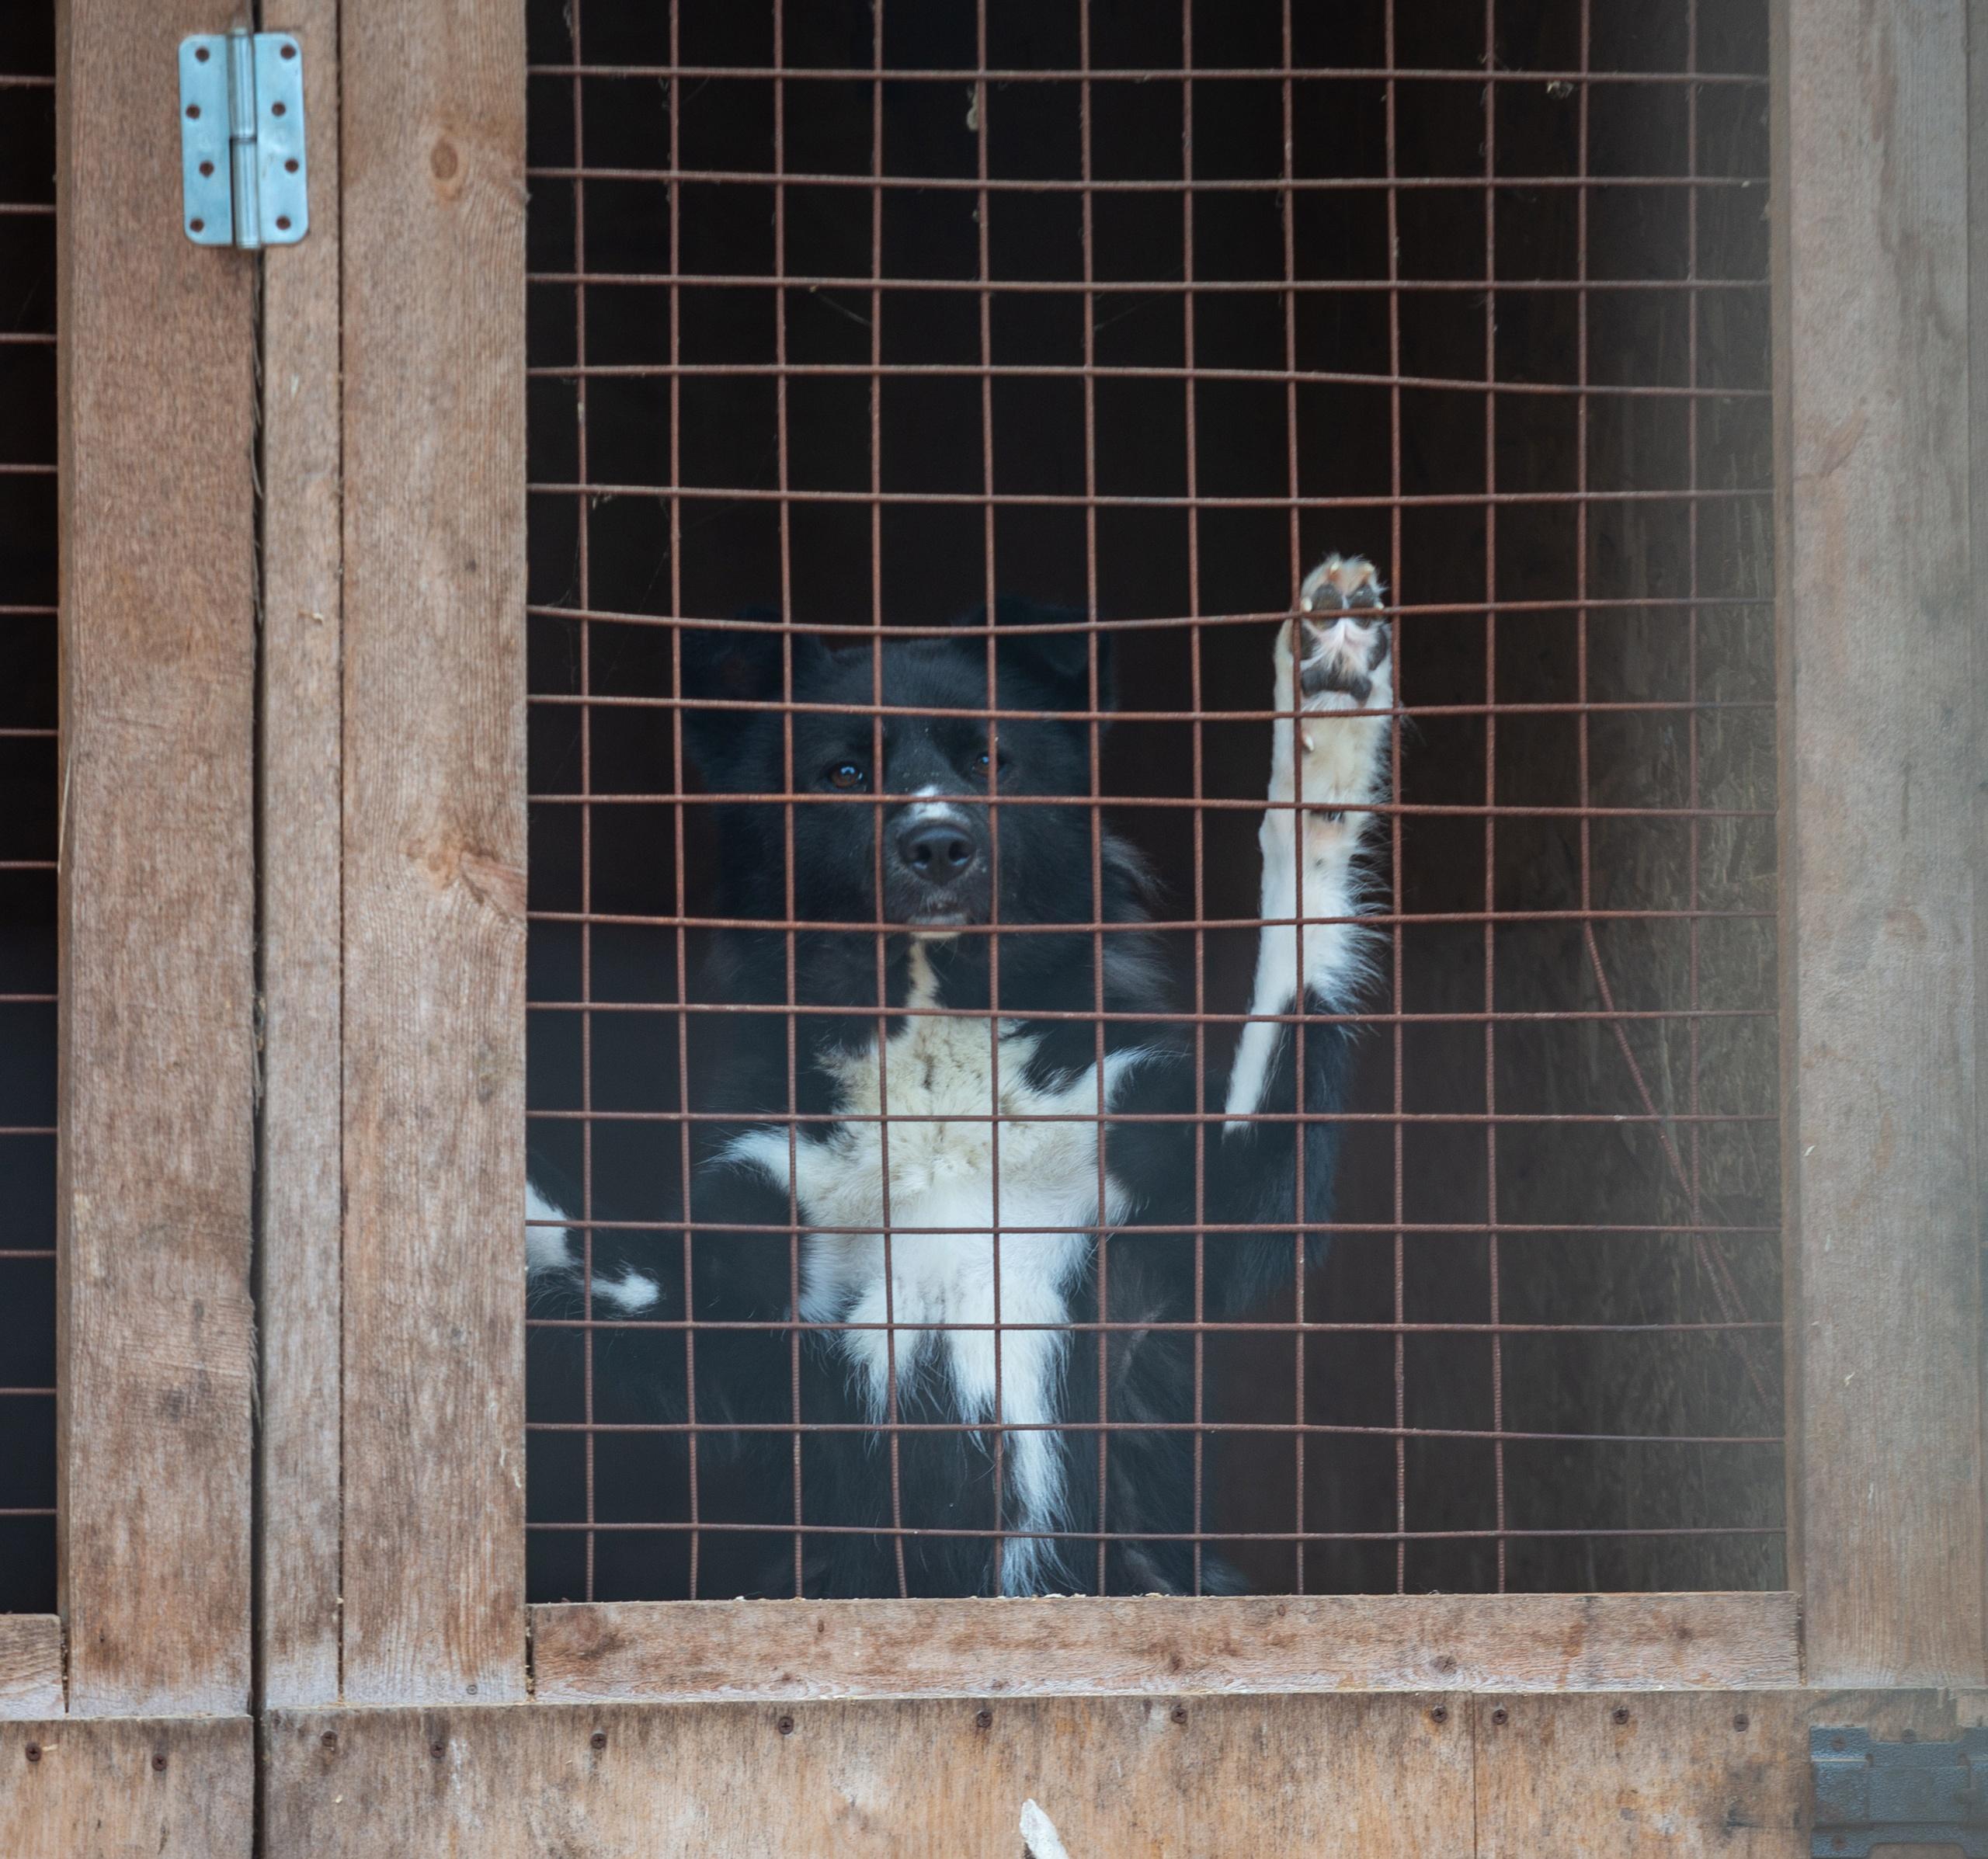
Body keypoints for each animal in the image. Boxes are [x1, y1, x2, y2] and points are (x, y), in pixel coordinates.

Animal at [528, 552, 1399, 1598]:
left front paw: (1328, 696)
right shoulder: (730, 1269)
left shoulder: (1207, 1187)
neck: (935, 1040)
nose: (938, 844)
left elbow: (1294, 922)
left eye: (989, 761)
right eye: (845, 773)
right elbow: (568, 1244)